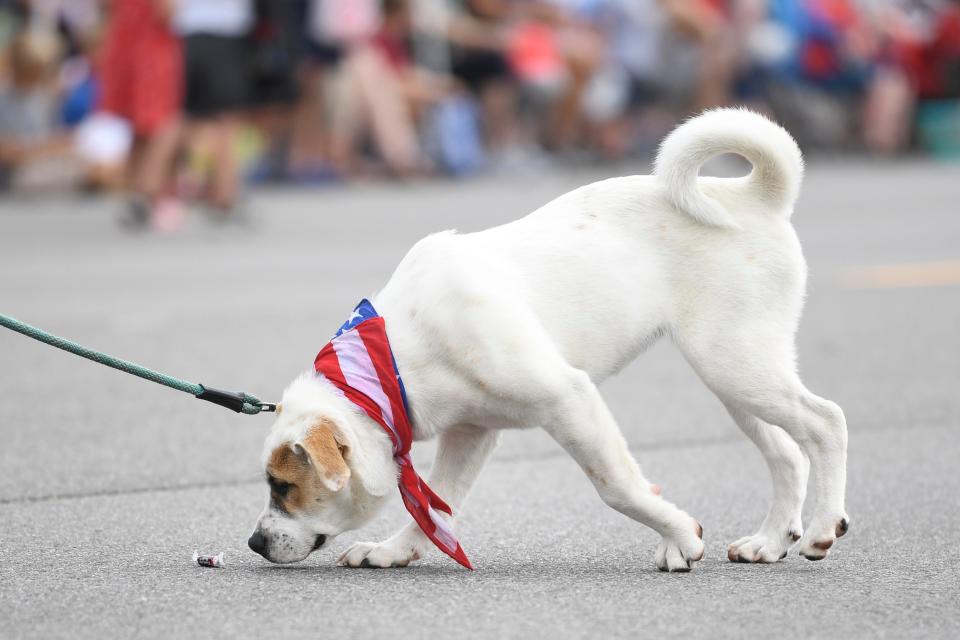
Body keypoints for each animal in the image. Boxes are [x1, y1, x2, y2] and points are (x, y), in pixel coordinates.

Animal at [248, 109, 848, 568]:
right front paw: (394, 551)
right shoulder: (471, 434)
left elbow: (617, 487)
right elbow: (437, 508)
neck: (394, 355)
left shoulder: (569, 399)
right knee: (787, 453)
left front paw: (680, 536)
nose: (253, 542)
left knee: (825, 422)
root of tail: (754, 197)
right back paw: (770, 541)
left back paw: (820, 527)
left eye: (283, 485)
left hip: (735, 364)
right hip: (736, 377)